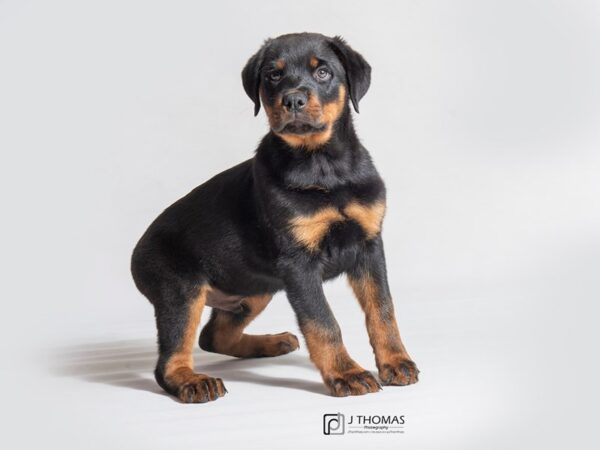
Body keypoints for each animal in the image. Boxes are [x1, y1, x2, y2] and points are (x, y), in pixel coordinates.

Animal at [131, 32, 420, 404]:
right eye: (273, 75)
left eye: (323, 72)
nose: (293, 99)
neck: (323, 165)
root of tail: (135, 254)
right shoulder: (298, 264)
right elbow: (323, 321)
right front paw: (346, 373)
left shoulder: (369, 246)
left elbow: (382, 310)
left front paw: (396, 362)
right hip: (180, 290)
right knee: (169, 359)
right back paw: (192, 381)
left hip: (253, 288)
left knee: (213, 336)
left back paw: (273, 342)